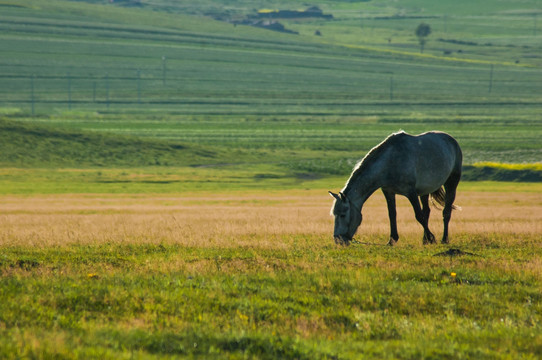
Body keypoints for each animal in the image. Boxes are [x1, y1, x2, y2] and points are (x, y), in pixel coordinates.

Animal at [330, 131, 466, 246]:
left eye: (342, 215)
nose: (338, 240)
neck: (390, 162)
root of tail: (451, 140)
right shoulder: (388, 192)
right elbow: (392, 214)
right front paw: (392, 240)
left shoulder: (411, 193)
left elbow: (419, 215)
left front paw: (432, 238)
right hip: (425, 191)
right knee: (427, 211)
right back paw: (424, 241)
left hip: (451, 183)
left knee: (446, 212)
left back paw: (444, 239)